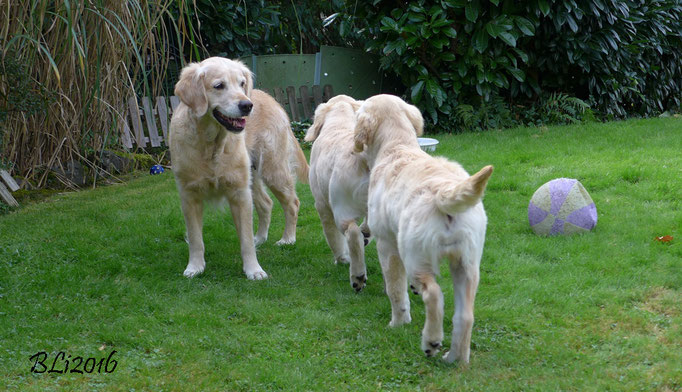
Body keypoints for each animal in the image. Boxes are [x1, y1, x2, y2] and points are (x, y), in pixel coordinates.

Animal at [169, 56, 306, 280]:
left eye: (242, 83)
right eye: (219, 86)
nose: (247, 105)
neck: (212, 145)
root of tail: (272, 99)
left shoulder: (239, 193)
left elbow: (245, 241)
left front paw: (253, 270)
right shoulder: (189, 195)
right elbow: (196, 239)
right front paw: (195, 267)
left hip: (272, 170)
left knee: (292, 203)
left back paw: (288, 239)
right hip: (253, 176)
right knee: (266, 203)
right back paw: (260, 237)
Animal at [302, 94, 370, 290]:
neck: (339, 122)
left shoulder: (322, 205)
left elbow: (333, 237)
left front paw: (341, 258)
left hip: (340, 208)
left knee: (352, 233)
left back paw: (357, 276)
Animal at [354, 93, 492, 362]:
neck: (397, 144)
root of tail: (444, 190)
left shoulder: (388, 245)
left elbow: (395, 289)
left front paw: (398, 322)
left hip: (415, 256)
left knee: (434, 294)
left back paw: (431, 341)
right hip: (468, 263)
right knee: (465, 316)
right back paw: (455, 358)